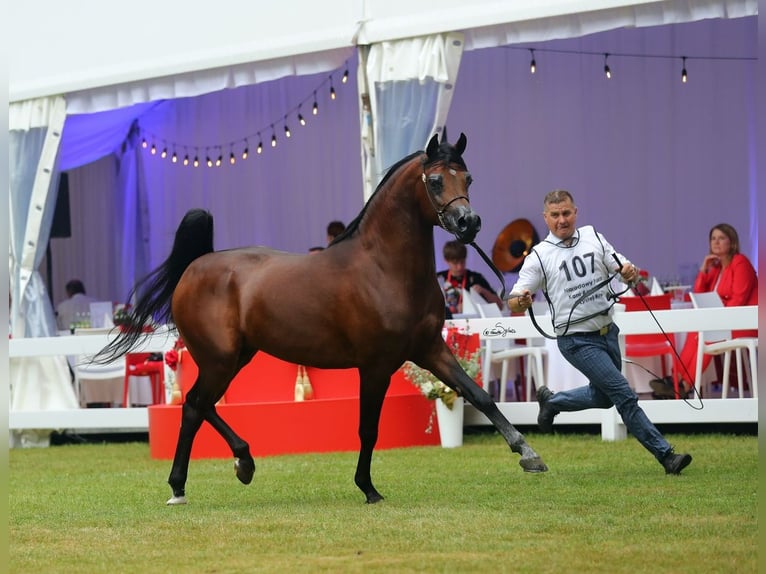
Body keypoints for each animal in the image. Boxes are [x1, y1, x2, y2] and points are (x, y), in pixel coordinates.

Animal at [100, 133, 544, 506]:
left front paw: (529, 455)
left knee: (199, 405)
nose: (469, 223)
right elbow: (368, 428)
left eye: (467, 177)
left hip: (237, 357)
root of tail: (197, 265)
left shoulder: (430, 349)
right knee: (194, 405)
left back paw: (235, 466)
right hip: (218, 359)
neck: (383, 269)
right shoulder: (376, 365)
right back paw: (190, 482)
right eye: (435, 181)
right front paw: (368, 489)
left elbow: (479, 394)